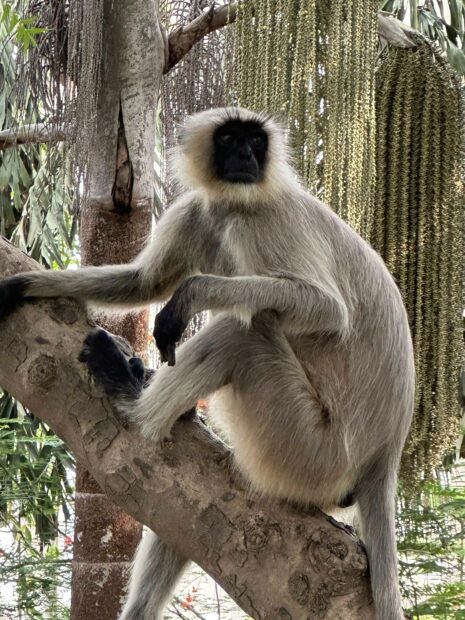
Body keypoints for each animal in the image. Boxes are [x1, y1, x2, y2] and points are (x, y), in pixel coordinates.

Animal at [0, 108, 414, 620]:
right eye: (231, 138)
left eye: (256, 141)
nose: (247, 157)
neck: (232, 200)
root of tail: (384, 457)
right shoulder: (196, 211)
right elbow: (143, 282)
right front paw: (24, 285)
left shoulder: (267, 217)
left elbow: (327, 311)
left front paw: (191, 295)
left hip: (312, 451)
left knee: (243, 332)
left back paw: (134, 401)